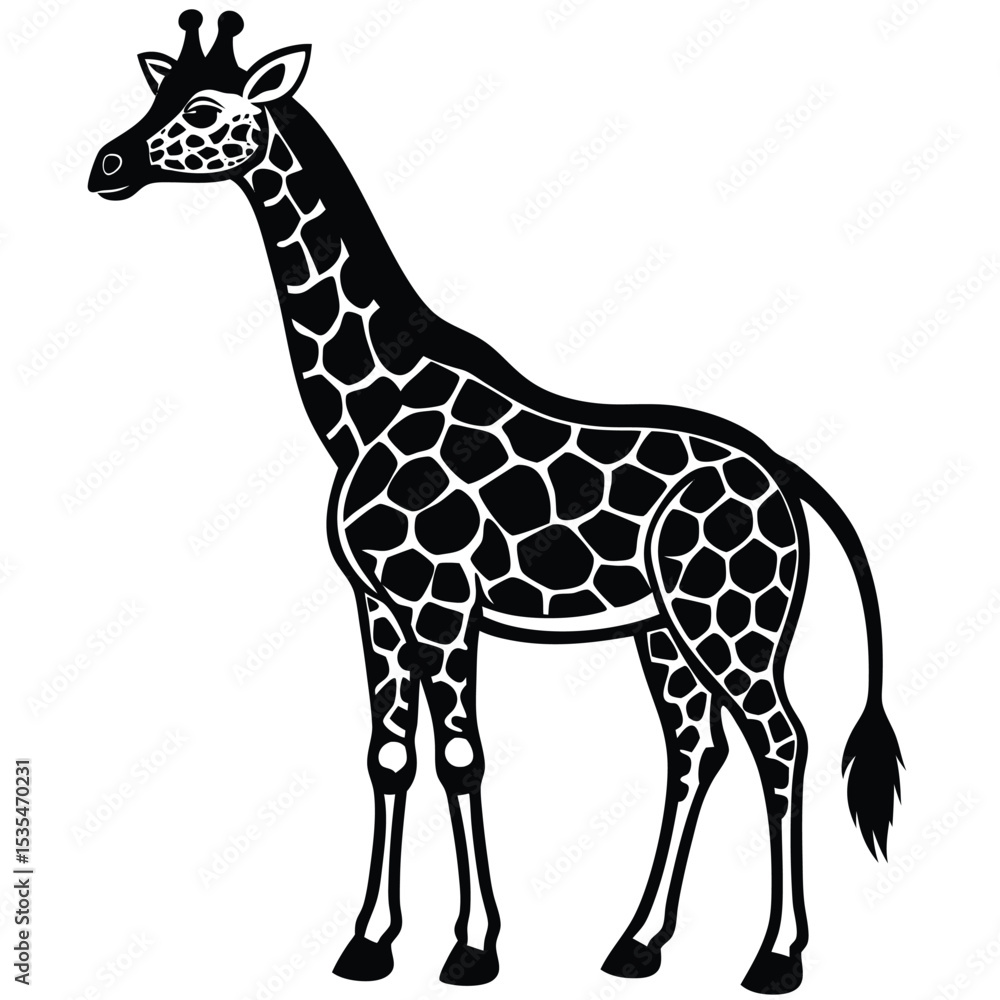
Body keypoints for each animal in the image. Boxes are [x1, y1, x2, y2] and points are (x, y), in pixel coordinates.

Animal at [88, 12, 903, 993]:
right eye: (158, 93)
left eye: (206, 108)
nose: (106, 165)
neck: (367, 403)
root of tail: (785, 475)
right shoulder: (378, 605)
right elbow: (390, 757)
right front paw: (368, 942)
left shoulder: (442, 604)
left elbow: (460, 757)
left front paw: (473, 947)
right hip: (665, 632)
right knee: (694, 749)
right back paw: (638, 943)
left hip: (732, 622)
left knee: (781, 742)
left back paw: (775, 956)